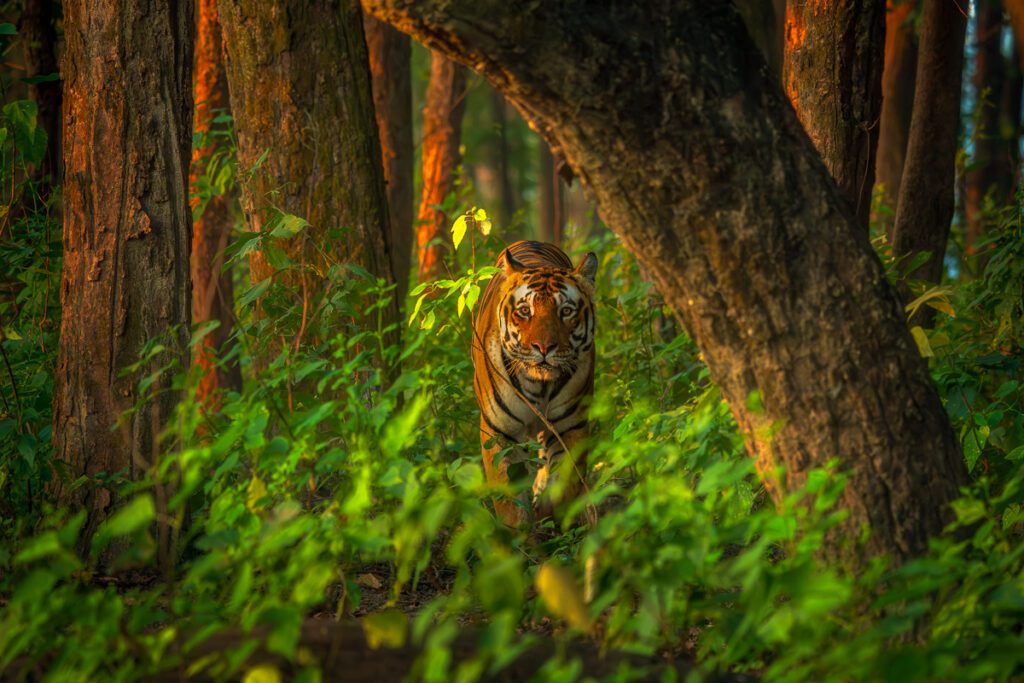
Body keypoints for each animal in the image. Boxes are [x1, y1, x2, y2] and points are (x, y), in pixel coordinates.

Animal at [471, 240, 598, 527]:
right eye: (525, 311)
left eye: (566, 312)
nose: (544, 347)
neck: (538, 385)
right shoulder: (499, 431)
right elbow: (508, 500)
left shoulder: (569, 425)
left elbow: (564, 487)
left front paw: (554, 522)